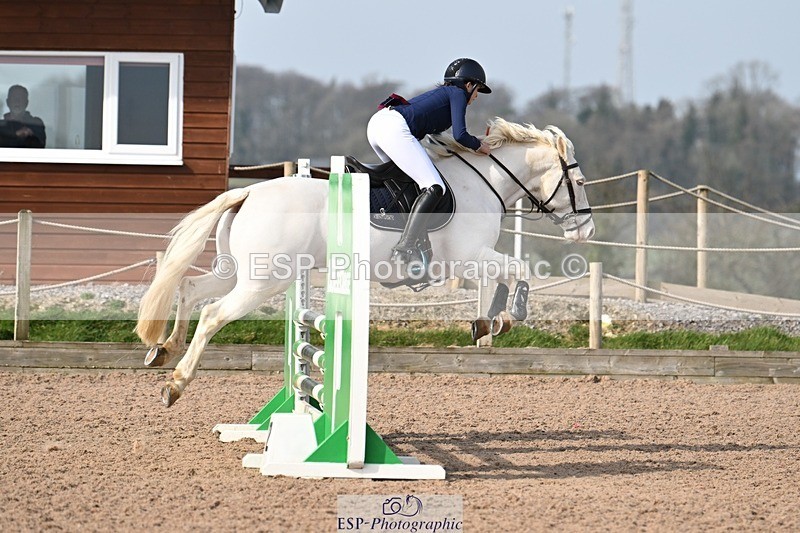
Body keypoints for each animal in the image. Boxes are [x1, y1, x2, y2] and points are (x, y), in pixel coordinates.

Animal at [135, 118, 596, 406]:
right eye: (579, 181)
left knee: (191, 288)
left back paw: (164, 350)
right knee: (213, 314)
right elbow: (519, 272)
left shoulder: (472, 262)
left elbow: (506, 278)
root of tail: (248, 192)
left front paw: (489, 323)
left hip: (240, 272)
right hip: (263, 282)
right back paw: (176, 384)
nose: (586, 231)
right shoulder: (466, 260)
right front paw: (507, 317)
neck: (485, 183)